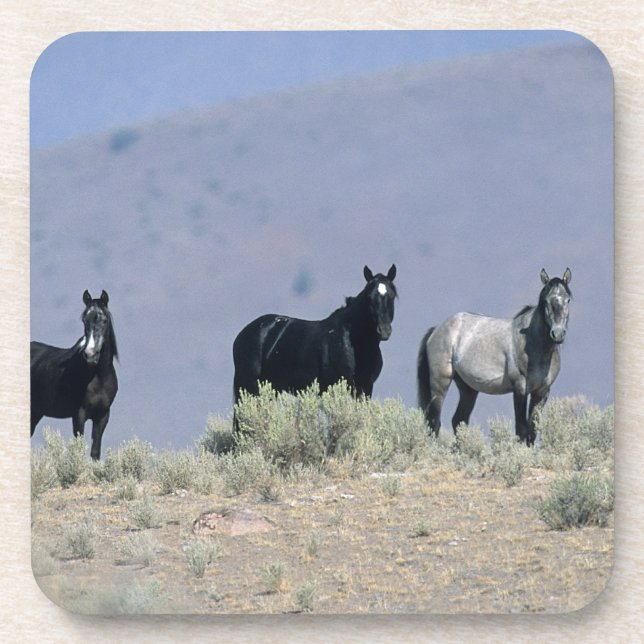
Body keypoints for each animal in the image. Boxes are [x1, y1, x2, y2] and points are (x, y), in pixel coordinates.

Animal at [31, 289, 118, 460]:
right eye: (84, 320)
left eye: (104, 320)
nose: (90, 354)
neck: (98, 377)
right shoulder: (79, 414)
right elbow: (79, 449)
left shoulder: (102, 416)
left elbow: (95, 452)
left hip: (36, 412)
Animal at [232, 265, 397, 425]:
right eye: (370, 297)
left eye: (392, 296)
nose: (384, 330)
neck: (353, 343)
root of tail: (242, 334)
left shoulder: (365, 389)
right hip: (249, 386)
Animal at [417, 268, 572, 446]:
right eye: (546, 301)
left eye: (568, 300)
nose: (557, 334)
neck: (533, 344)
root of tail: (436, 329)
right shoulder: (520, 388)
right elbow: (521, 429)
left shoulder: (542, 392)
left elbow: (532, 432)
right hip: (440, 384)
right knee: (434, 422)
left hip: (468, 388)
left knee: (459, 420)